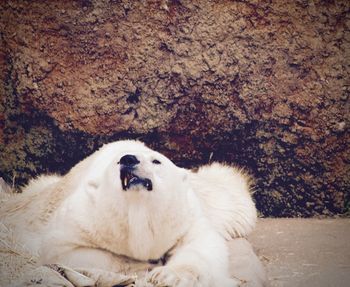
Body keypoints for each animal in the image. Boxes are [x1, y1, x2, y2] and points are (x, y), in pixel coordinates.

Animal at [0, 141, 260, 286]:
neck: (138, 211)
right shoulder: (87, 218)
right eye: (117, 162)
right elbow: (63, 250)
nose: (128, 158)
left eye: (157, 161)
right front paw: (139, 267)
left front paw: (167, 276)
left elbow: (201, 245)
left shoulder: (183, 217)